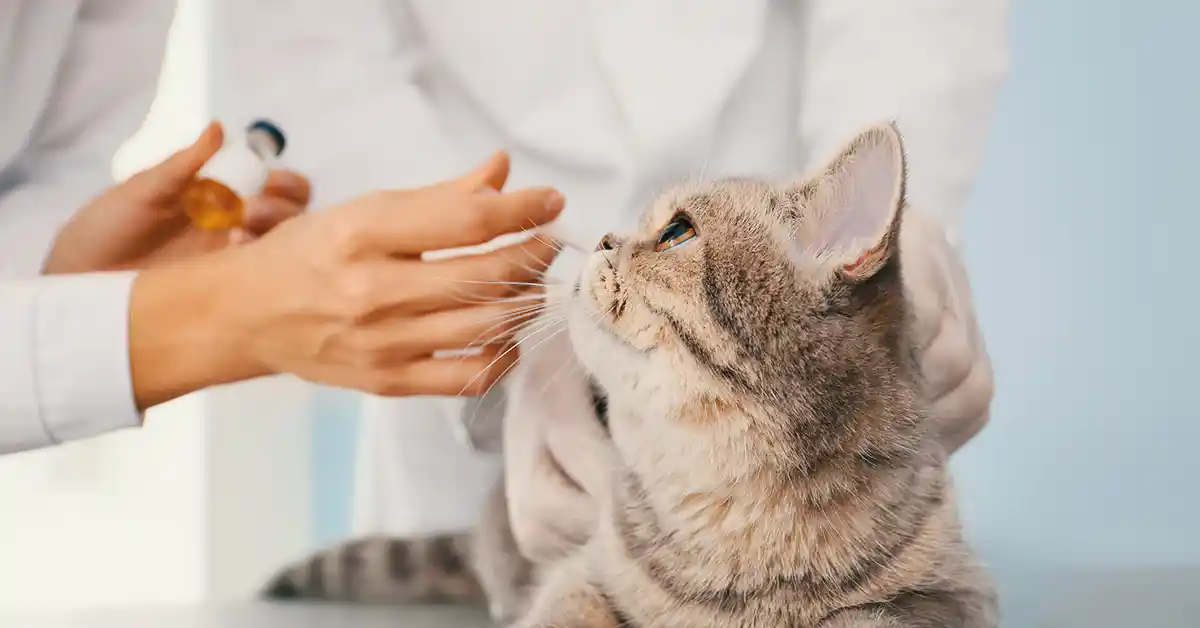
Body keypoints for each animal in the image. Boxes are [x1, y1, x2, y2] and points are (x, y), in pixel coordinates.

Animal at [262, 124, 993, 628]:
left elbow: (874, 615)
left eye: (677, 231)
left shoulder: (952, 596)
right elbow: (571, 611)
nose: (605, 238)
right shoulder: (581, 576)